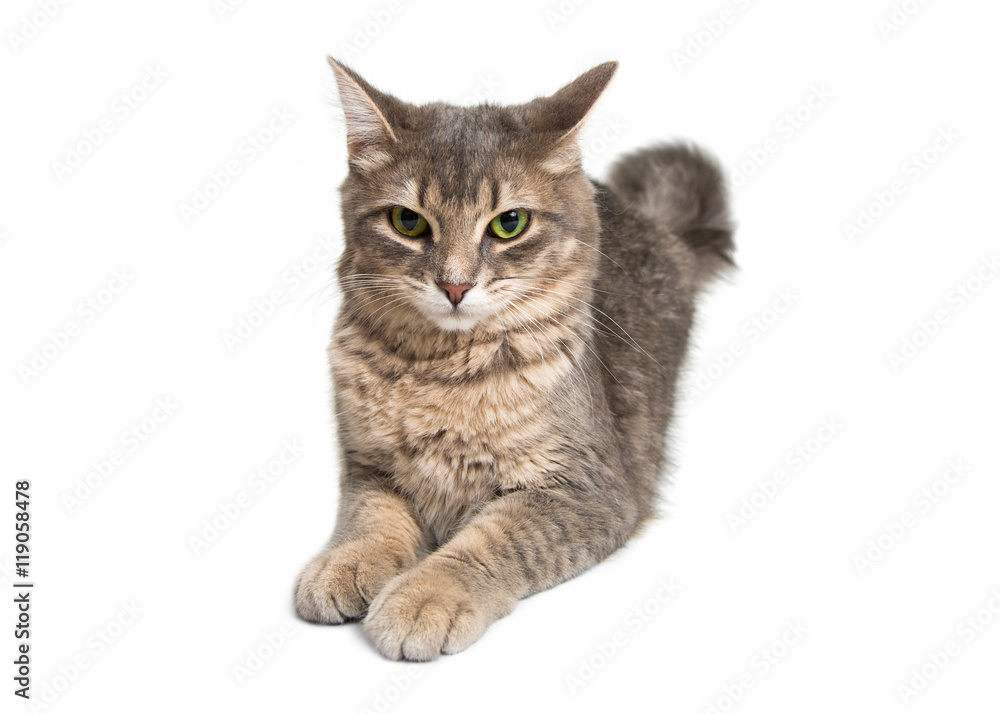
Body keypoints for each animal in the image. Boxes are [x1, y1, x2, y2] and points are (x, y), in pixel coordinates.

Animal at [292, 58, 732, 660]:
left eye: (509, 224)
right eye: (408, 222)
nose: (454, 285)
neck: (439, 374)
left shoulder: (586, 490)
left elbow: (491, 542)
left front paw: (424, 597)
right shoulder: (368, 466)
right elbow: (369, 521)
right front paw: (345, 564)